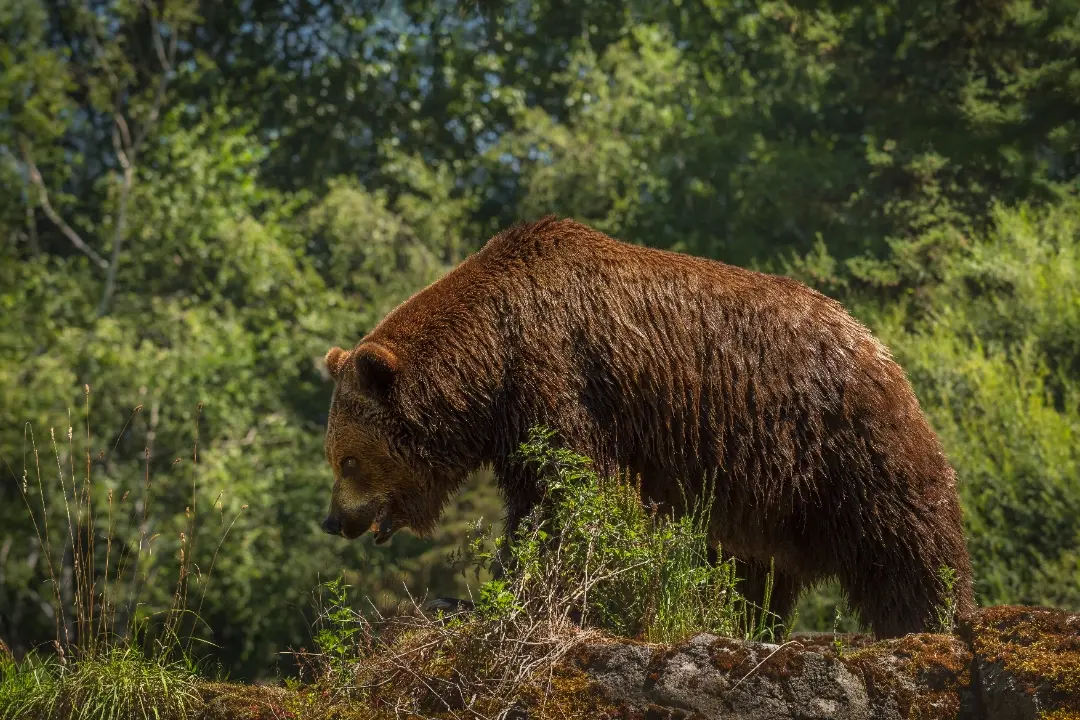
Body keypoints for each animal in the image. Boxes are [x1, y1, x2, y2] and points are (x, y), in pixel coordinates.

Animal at [319, 216, 980, 639]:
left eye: (348, 460)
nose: (334, 520)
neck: (491, 356)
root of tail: (877, 347)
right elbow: (541, 496)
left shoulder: (556, 376)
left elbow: (564, 492)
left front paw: (513, 589)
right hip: (764, 491)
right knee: (750, 570)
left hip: (838, 440)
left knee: (902, 536)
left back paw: (935, 618)